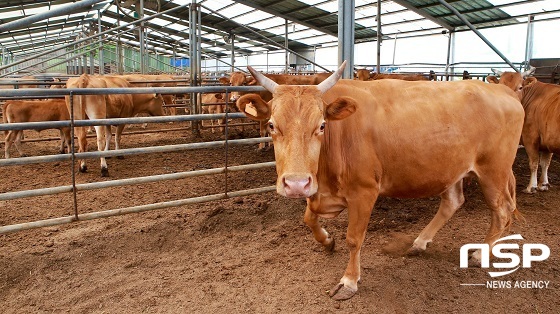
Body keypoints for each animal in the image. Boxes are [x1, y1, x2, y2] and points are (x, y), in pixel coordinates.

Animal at [236, 60, 524, 300]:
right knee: (453, 201)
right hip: (453, 167)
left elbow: (354, 238)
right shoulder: (320, 192)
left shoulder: (364, 191)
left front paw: (349, 282)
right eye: (271, 125)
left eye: (321, 125)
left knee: (501, 210)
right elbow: (308, 218)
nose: (296, 184)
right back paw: (419, 243)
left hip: (494, 171)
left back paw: (480, 253)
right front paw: (327, 241)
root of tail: (505, 92)